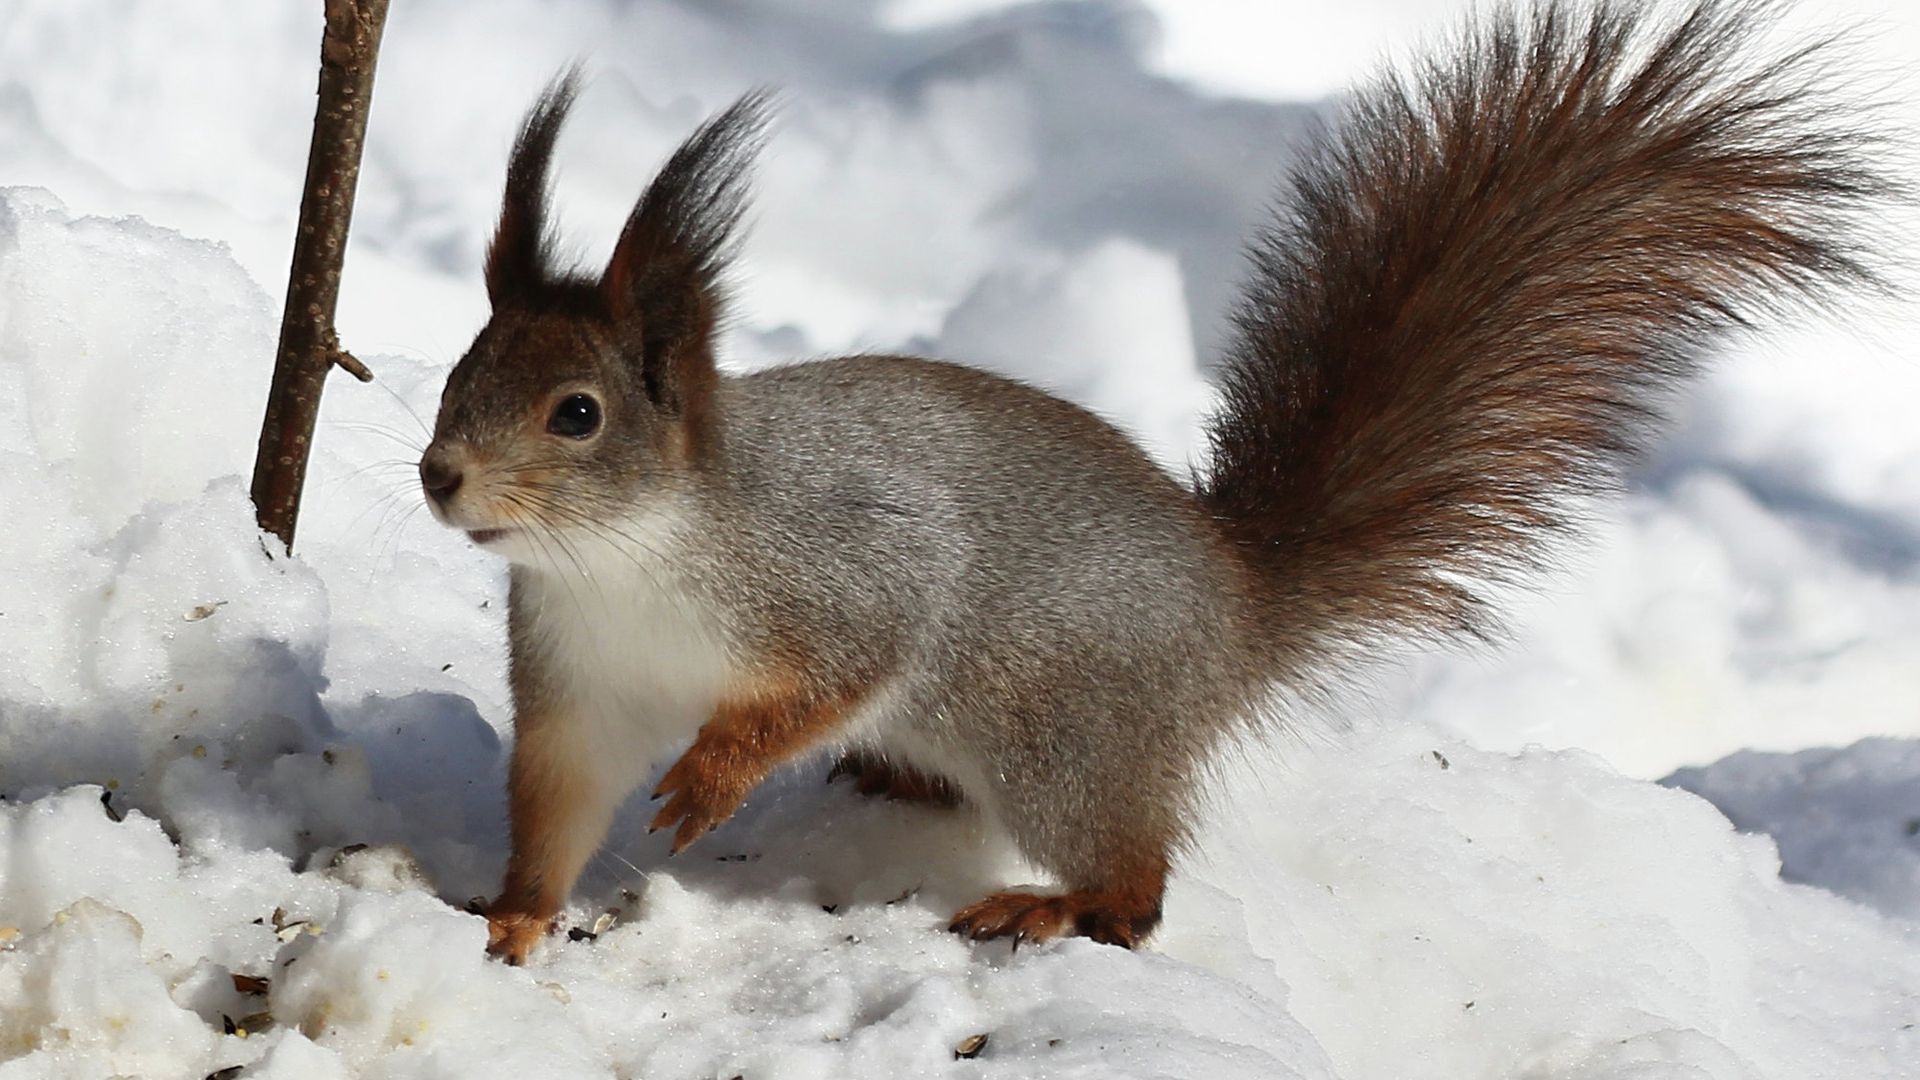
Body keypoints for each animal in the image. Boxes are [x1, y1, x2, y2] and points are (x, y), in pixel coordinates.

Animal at [419, 0, 1888, 963]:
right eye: (459, 372)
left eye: (578, 414)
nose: (439, 479)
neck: (625, 560)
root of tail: (1237, 605)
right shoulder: (577, 688)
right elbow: (558, 804)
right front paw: (515, 917)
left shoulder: (844, 573)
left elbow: (844, 666)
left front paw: (713, 779)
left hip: (1064, 733)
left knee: (1137, 885)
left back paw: (1055, 905)